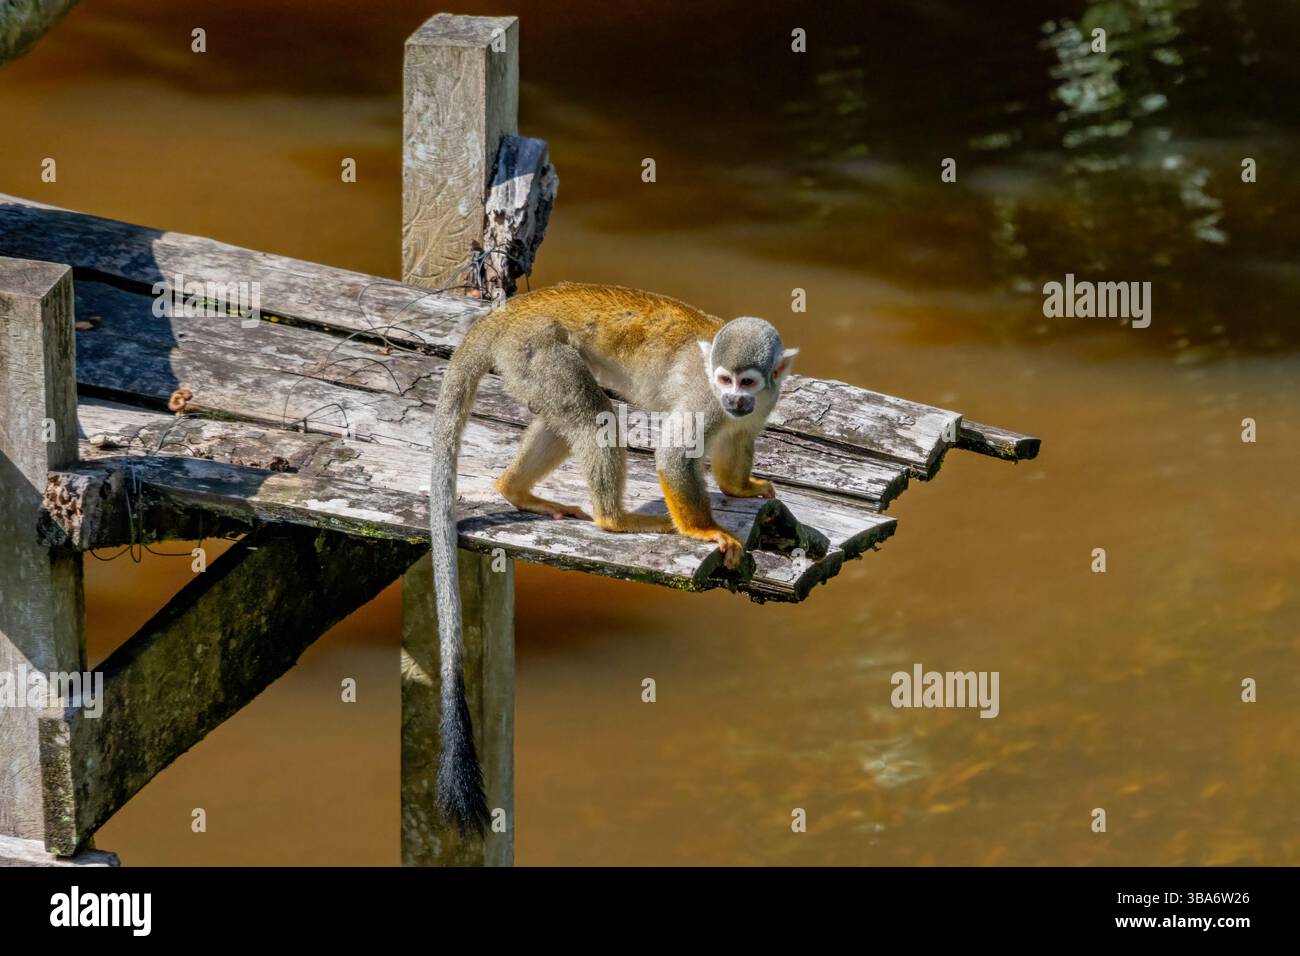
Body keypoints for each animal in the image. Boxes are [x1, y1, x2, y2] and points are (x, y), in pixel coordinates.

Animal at [428, 282, 798, 833]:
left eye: (748, 381)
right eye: (724, 379)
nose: (734, 397)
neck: (732, 397)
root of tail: (508, 313)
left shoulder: (760, 405)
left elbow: (738, 439)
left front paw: (742, 486)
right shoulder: (704, 400)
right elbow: (674, 453)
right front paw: (704, 529)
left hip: (525, 361)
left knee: (569, 415)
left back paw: (515, 489)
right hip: (536, 351)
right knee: (593, 415)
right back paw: (614, 519)